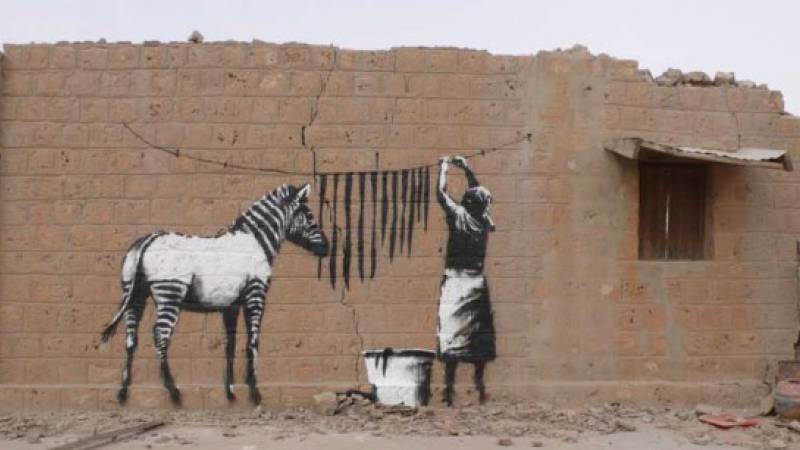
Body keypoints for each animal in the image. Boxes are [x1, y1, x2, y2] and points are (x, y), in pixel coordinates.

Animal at [100, 183, 329, 406]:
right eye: (309, 216)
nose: (326, 249)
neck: (256, 242)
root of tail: (149, 239)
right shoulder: (256, 294)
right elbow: (252, 342)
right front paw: (254, 392)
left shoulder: (231, 305)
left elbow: (230, 345)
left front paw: (231, 391)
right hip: (170, 292)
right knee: (160, 335)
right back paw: (174, 392)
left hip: (134, 294)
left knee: (131, 337)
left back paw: (123, 392)